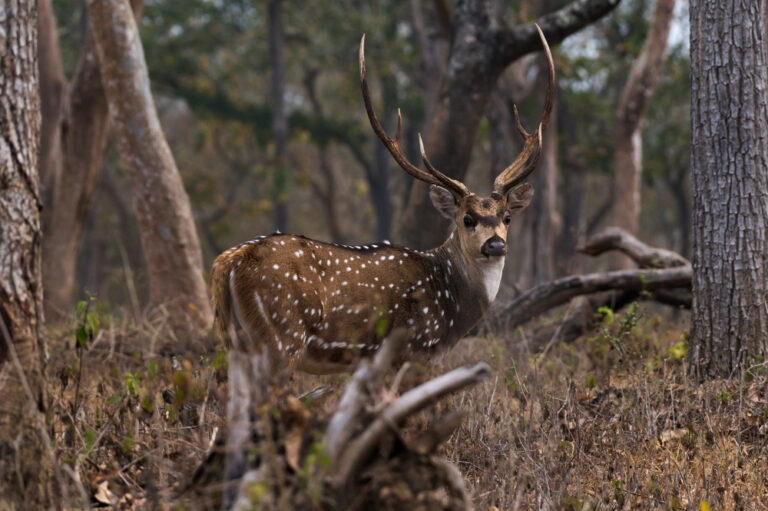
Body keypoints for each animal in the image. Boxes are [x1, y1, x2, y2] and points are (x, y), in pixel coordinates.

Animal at [213, 26, 556, 374]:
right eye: (467, 218)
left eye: (507, 217)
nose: (496, 244)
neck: (451, 310)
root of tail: (226, 264)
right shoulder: (413, 349)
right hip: (281, 335)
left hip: (235, 341)